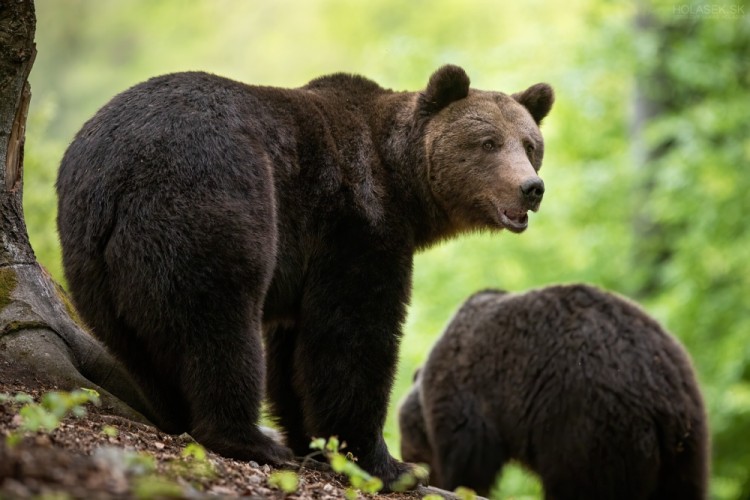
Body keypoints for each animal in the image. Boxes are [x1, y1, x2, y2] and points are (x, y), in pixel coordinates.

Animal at [55, 62, 556, 484]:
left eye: (530, 145)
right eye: (488, 143)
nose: (531, 188)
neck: (404, 185)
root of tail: (116, 170)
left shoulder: (308, 257)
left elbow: (294, 351)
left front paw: (314, 441)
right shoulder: (355, 222)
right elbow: (353, 336)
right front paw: (389, 463)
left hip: (91, 254)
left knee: (136, 343)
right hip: (210, 193)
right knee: (218, 321)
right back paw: (248, 438)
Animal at [400, 284, 712, 498]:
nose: (416, 468)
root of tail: (662, 399)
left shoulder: (467, 398)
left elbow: (467, 466)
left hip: (590, 428)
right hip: (687, 446)